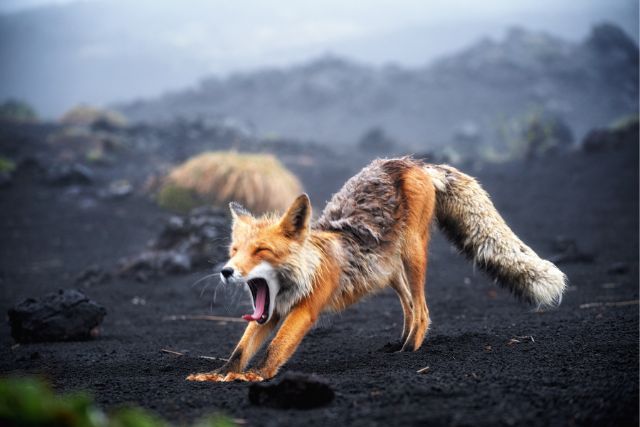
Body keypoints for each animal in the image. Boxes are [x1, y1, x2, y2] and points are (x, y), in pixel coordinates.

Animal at [184, 158, 564, 384]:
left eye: (261, 251)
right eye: (234, 251)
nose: (226, 271)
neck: (302, 274)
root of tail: (413, 162)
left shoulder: (305, 310)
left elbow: (274, 351)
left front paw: (252, 379)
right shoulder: (271, 312)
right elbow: (239, 351)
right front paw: (217, 375)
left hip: (413, 253)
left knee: (423, 310)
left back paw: (410, 351)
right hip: (389, 270)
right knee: (410, 305)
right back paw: (400, 344)